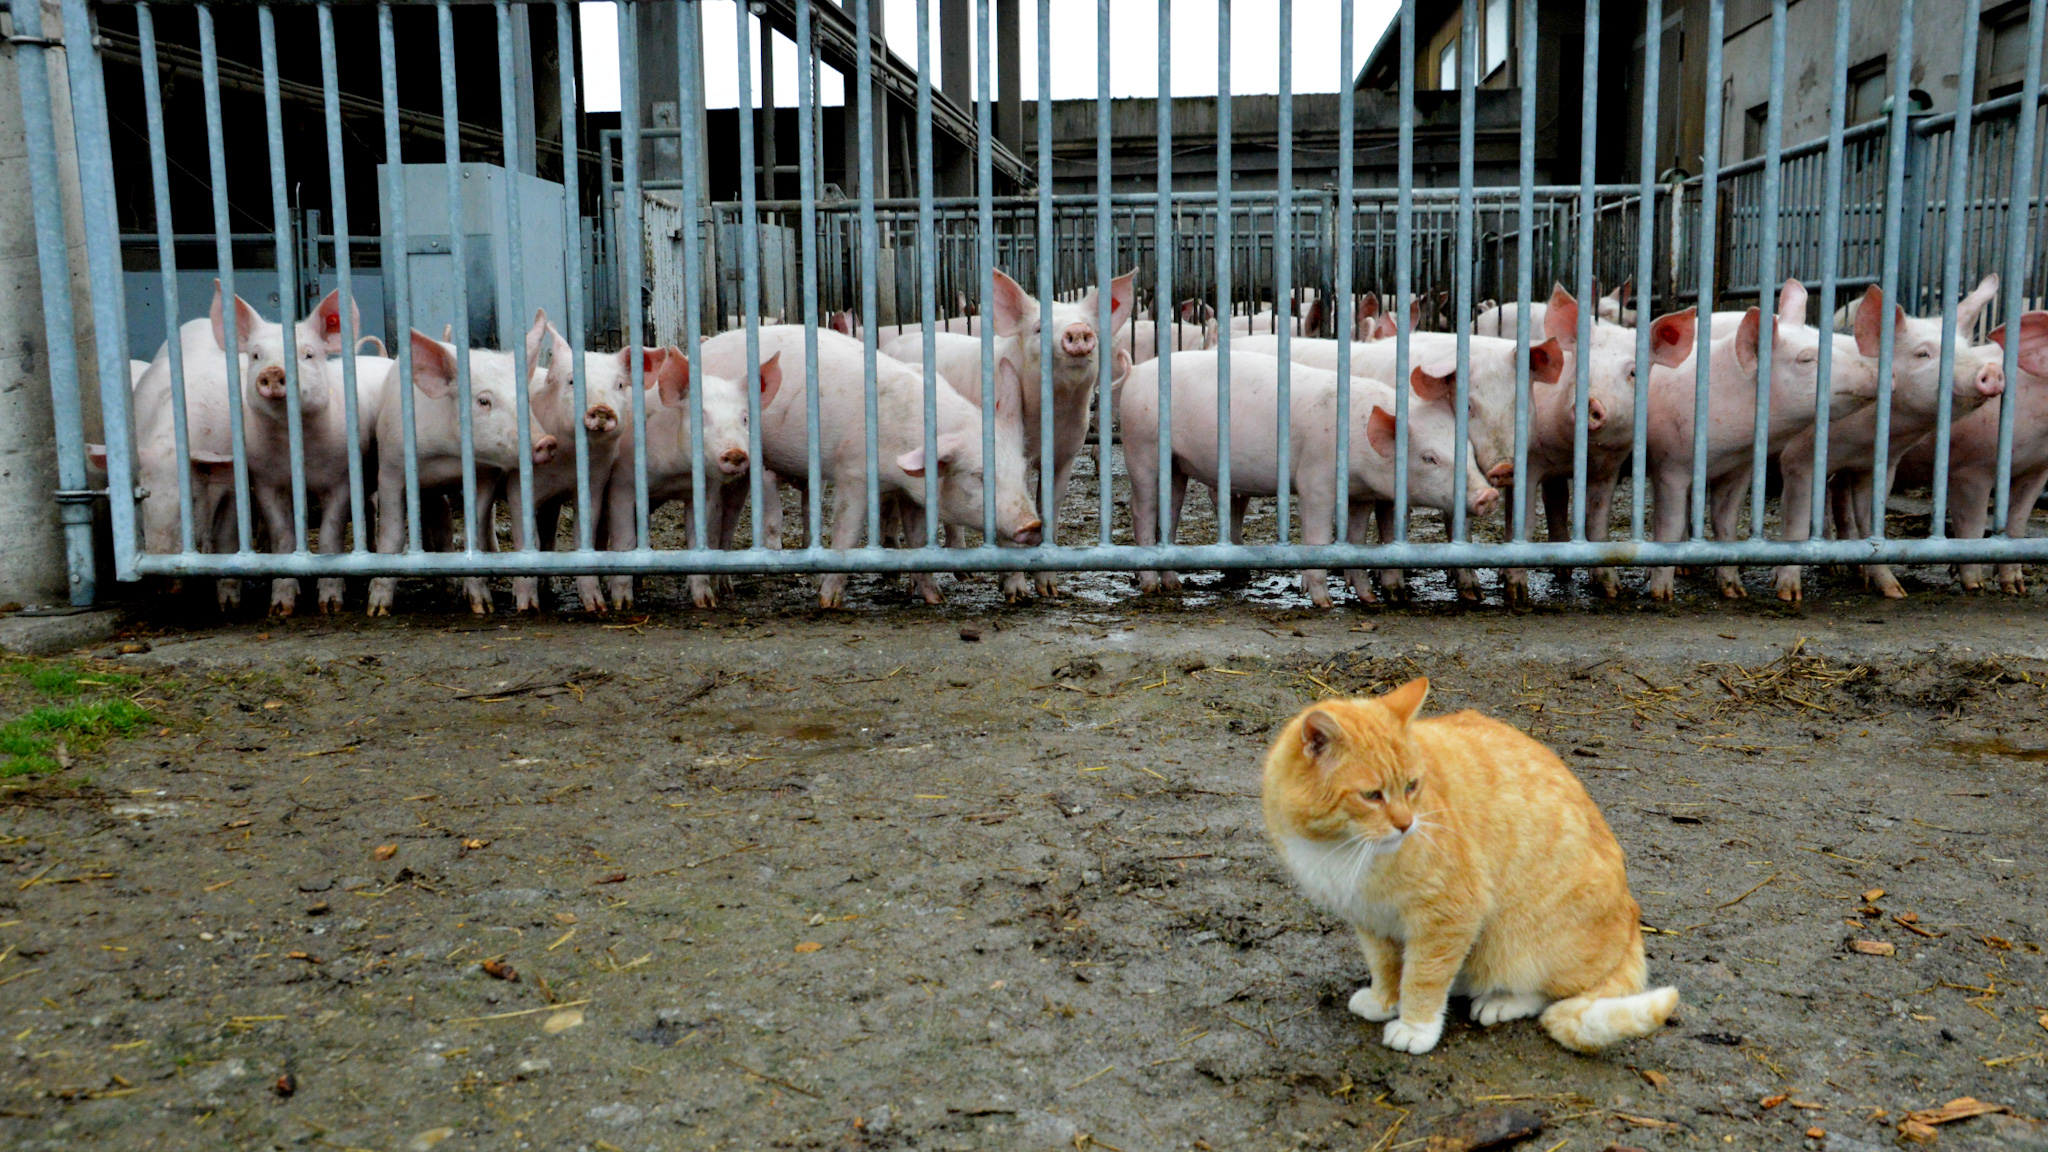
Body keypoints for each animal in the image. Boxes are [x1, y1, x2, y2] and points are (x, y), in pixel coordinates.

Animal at [1261, 676, 1679, 1057]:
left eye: (1411, 786)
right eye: (1372, 795)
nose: (1406, 825)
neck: (1340, 847)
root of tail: (1632, 919)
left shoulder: (1448, 916)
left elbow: (1423, 978)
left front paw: (1415, 1027)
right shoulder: (1370, 918)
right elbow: (1386, 966)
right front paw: (1384, 1000)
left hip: (1519, 939)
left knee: (1550, 993)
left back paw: (1502, 1001)